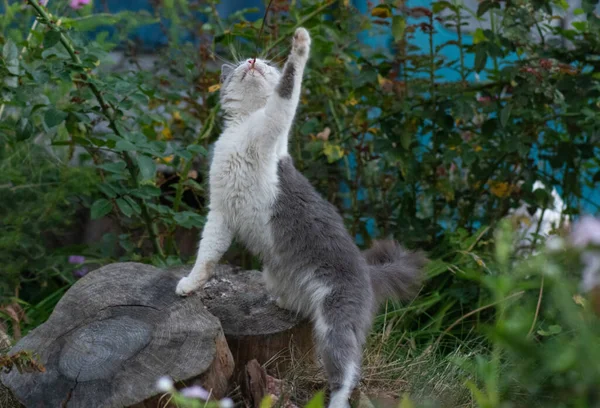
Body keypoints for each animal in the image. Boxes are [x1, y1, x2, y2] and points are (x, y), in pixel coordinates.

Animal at [176, 27, 424, 408]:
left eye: (266, 63)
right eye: (243, 63)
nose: (252, 61)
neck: (244, 127)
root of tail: (367, 272)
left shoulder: (274, 124)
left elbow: (288, 88)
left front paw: (301, 44)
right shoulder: (220, 211)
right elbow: (207, 255)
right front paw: (189, 285)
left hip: (336, 322)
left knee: (347, 372)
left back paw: (336, 400)